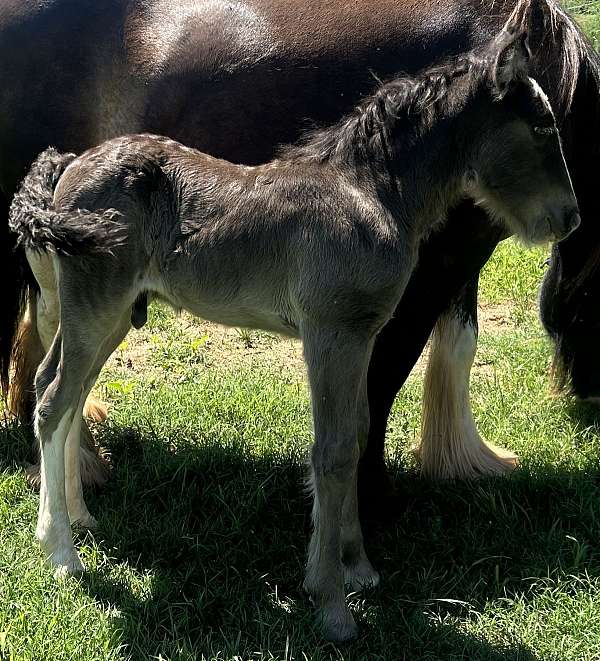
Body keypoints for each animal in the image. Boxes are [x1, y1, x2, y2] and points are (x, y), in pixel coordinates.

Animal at [0, 1, 596, 490]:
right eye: (543, 127)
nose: (568, 216)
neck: (365, 188)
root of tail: (63, 166)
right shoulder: (409, 285)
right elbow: (382, 384)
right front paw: (375, 500)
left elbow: (449, 350)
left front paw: (463, 461)